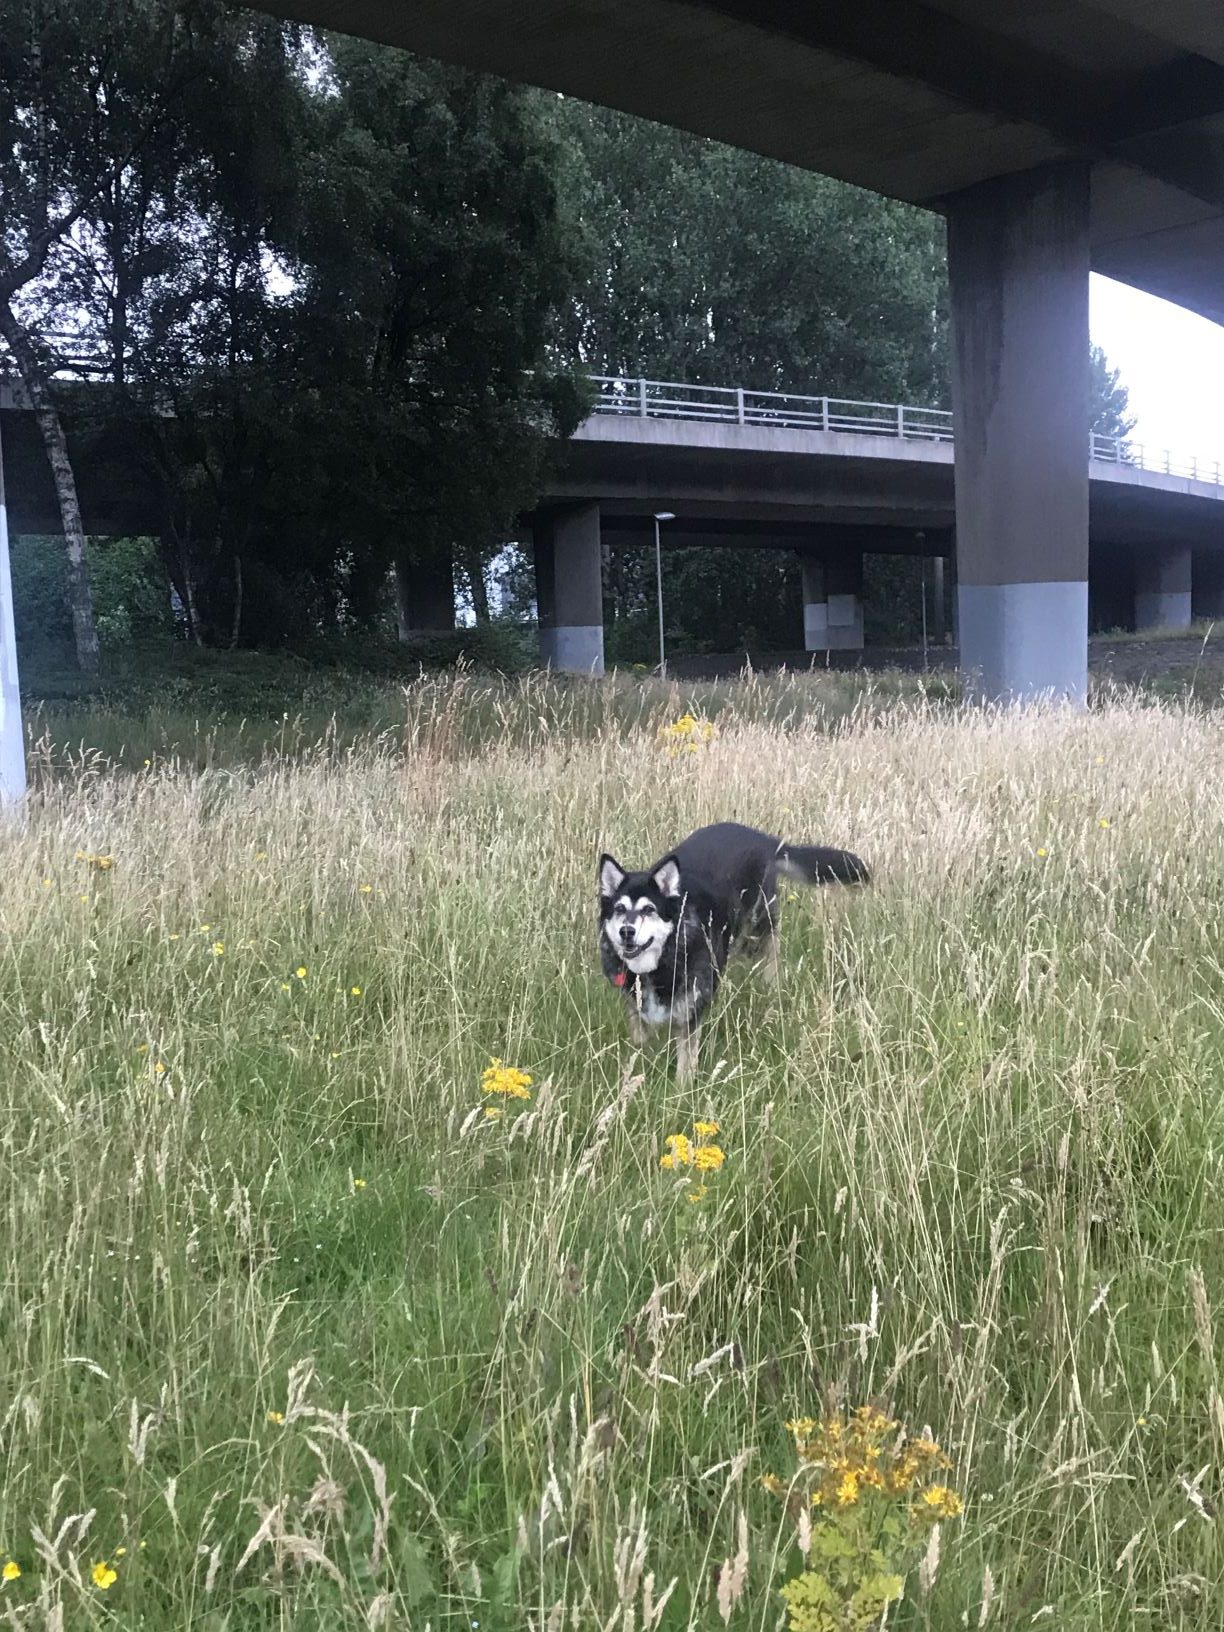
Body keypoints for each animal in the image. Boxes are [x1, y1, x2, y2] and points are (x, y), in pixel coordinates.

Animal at [600, 822, 868, 1077]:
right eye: (620, 909)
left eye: (649, 909)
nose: (626, 932)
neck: (668, 954)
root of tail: (762, 838)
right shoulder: (636, 1008)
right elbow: (639, 1046)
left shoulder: (690, 1016)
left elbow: (685, 1067)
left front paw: (682, 1090)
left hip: (756, 931)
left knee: (772, 957)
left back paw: (772, 990)